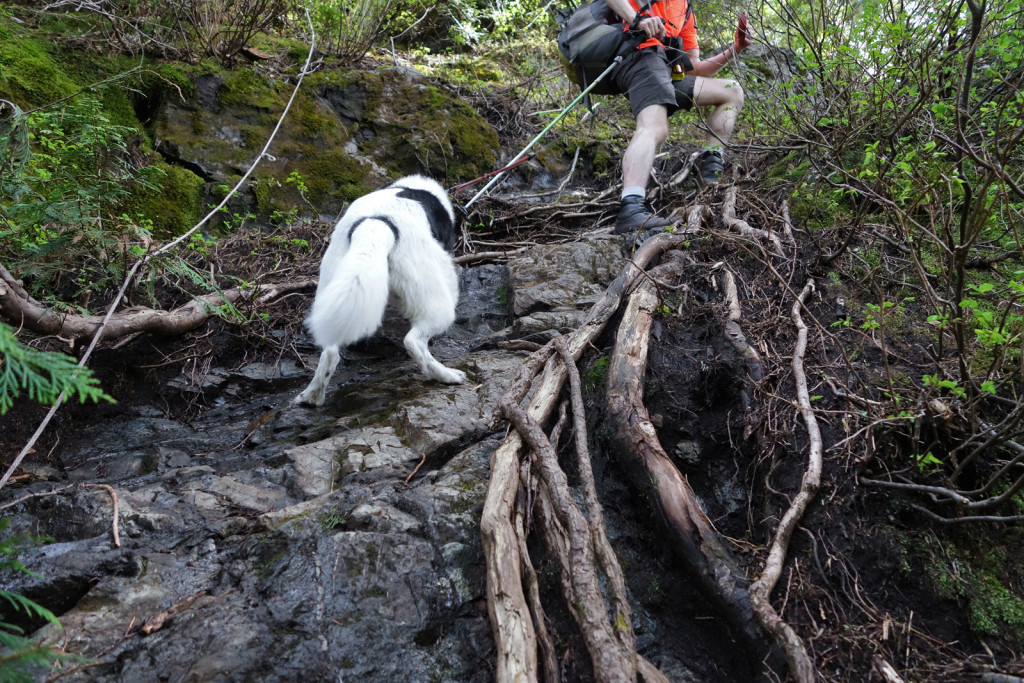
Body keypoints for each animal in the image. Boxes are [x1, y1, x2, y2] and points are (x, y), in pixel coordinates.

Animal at [294, 175, 466, 405]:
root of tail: (377, 223)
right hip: (434, 294)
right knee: (414, 341)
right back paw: (446, 375)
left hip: (333, 290)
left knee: (329, 351)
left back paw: (312, 396)